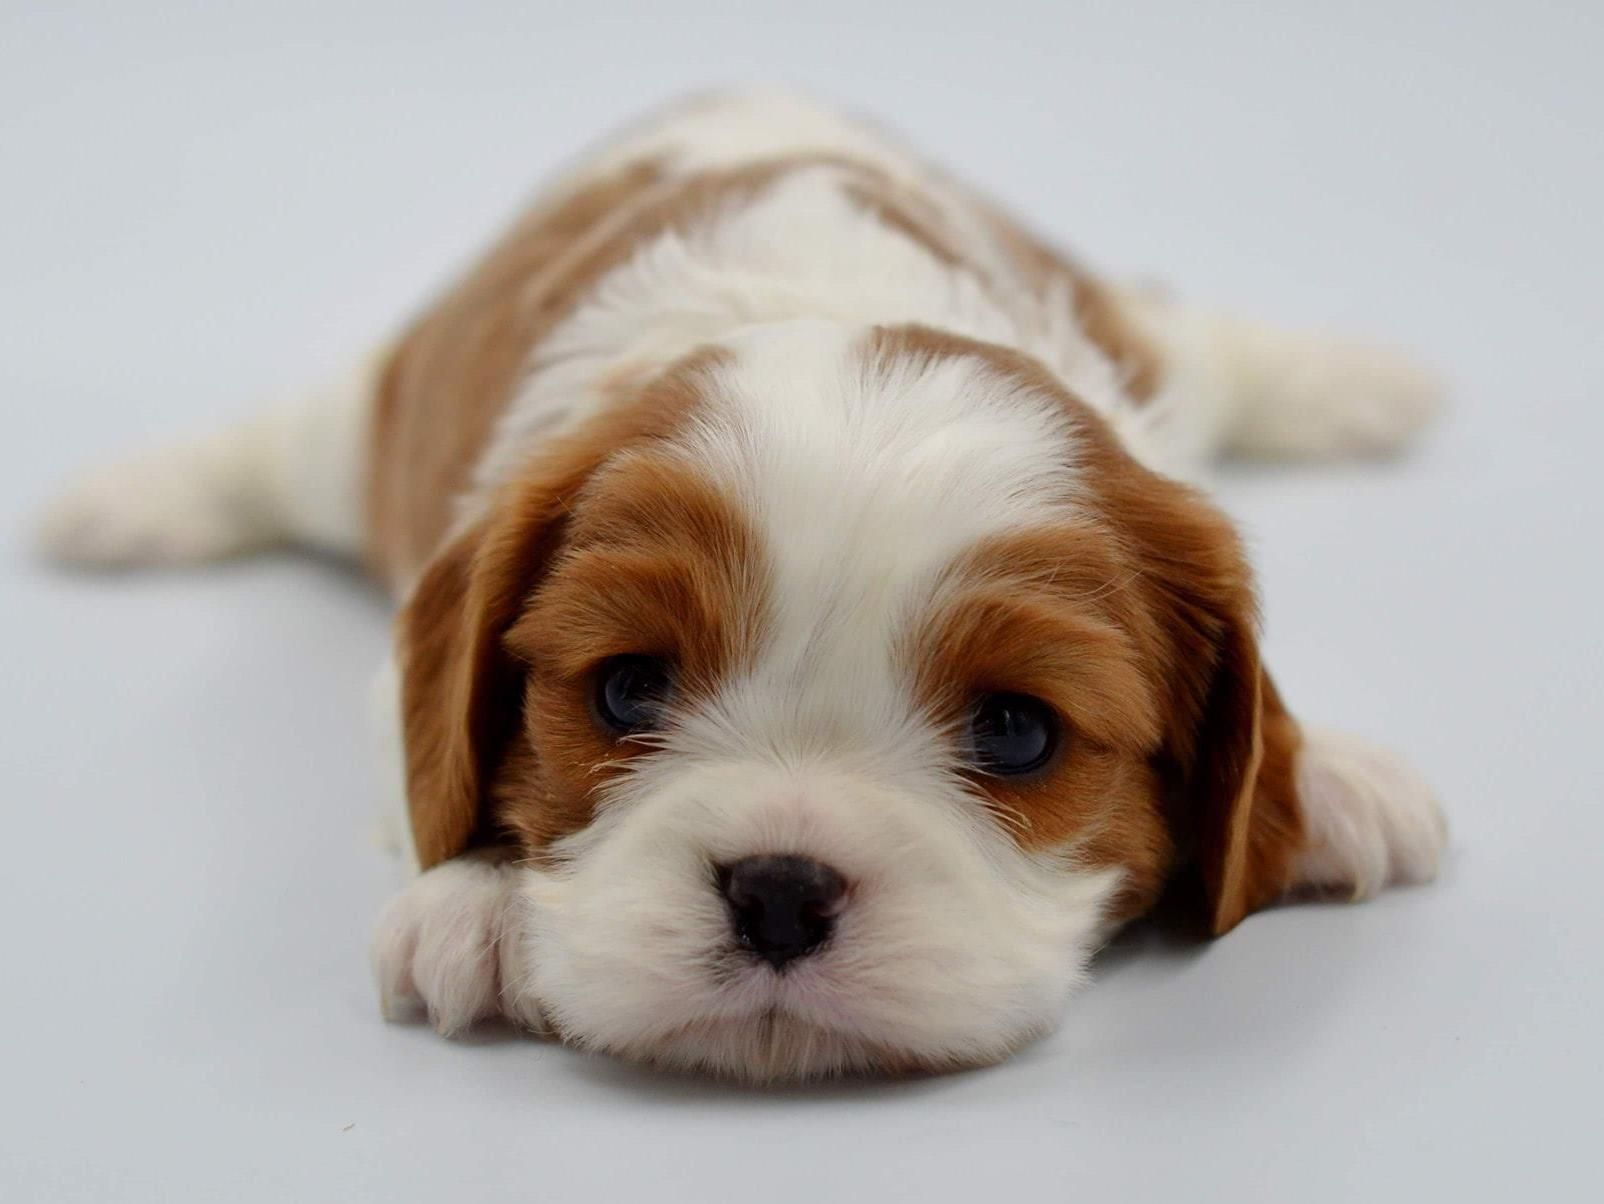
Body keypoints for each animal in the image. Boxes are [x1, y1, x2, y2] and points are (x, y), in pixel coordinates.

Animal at [37, 91, 1450, 1083]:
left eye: (1015, 730)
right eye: (626, 691)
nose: (779, 890)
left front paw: (1325, 776)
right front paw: (482, 898)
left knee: (1191, 333)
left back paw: (1354, 382)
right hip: (373, 421)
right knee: (286, 439)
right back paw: (120, 504)